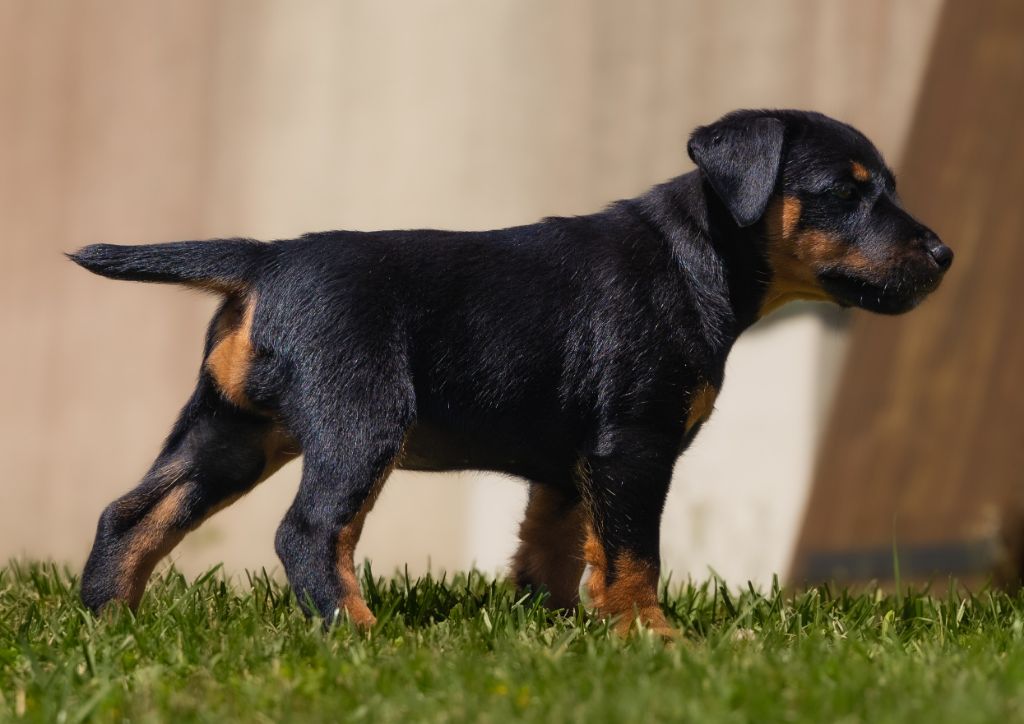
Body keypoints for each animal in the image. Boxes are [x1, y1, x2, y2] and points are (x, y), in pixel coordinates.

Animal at [70, 110, 950, 639]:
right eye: (845, 192)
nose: (943, 253)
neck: (699, 254)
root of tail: (265, 258)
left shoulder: (571, 464)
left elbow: (557, 547)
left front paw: (562, 629)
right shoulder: (634, 443)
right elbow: (635, 552)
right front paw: (653, 636)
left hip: (232, 429)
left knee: (132, 513)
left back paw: (107, 624)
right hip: (360, 417)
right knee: (310, 531)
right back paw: (363, 637)